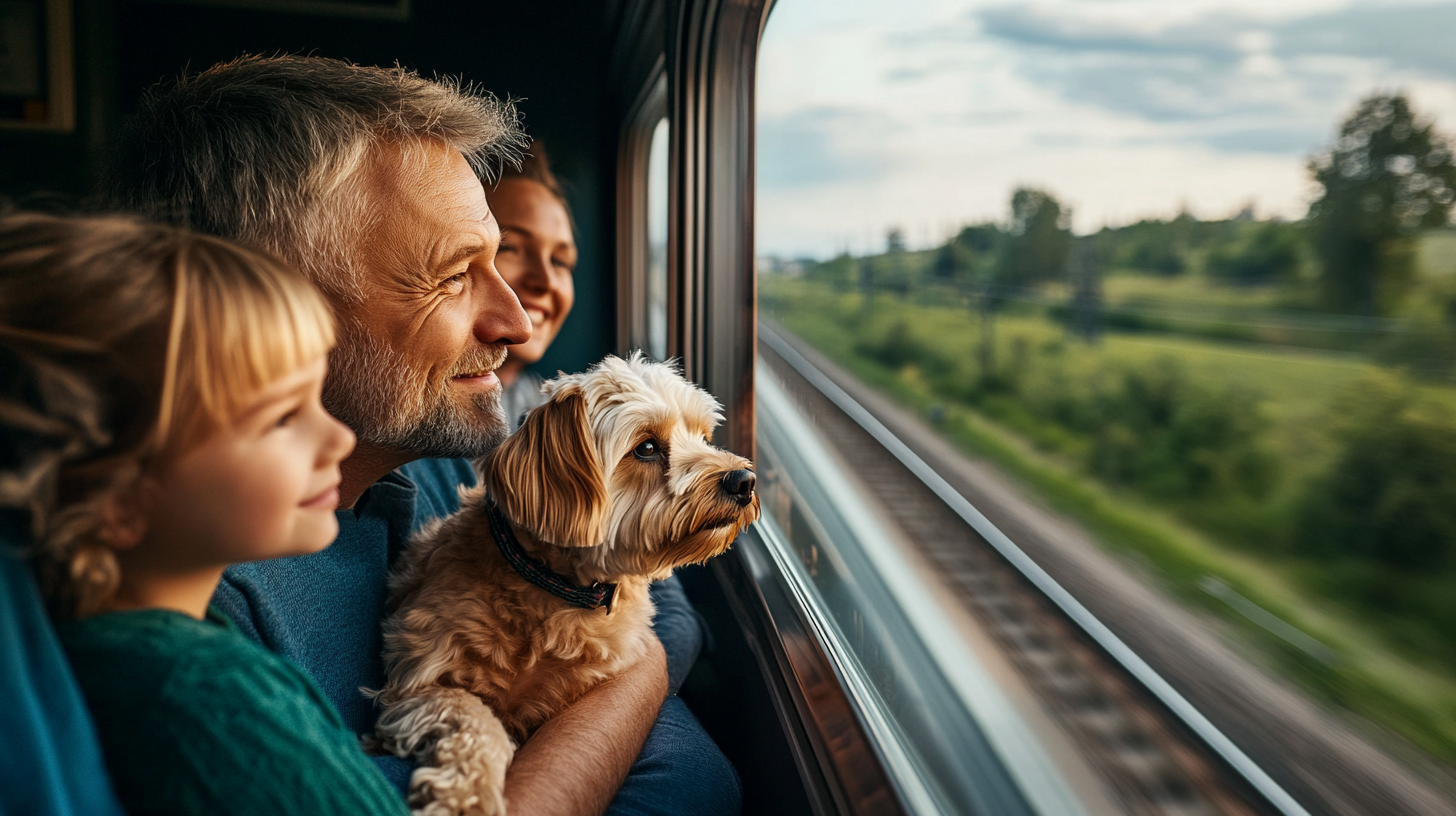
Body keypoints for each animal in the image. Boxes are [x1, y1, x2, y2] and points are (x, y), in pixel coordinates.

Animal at [369, 352, 762, 816]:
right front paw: (469, 792)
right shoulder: (417, 680)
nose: (743, 481)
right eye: (646, 448)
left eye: (703, 437)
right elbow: (475, 717)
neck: (555, 588)